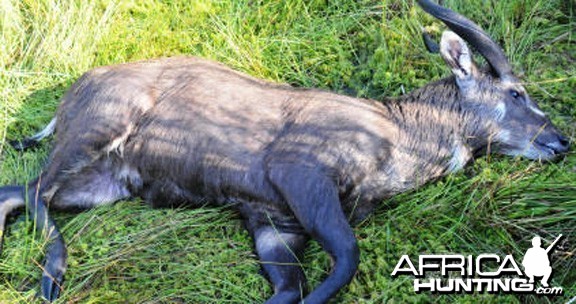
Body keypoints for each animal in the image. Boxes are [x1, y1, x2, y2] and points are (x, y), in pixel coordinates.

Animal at [0, 0, 568, 302]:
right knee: (38, 189)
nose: (562, 141)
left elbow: (290, 288)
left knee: (19, 189)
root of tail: (72, 94)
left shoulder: (274, 219)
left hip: (109, 183)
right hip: (100, 129)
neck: (396, 139)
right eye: (517, 93)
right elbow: (345, 262)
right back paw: (50, 280)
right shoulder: (300, 174)